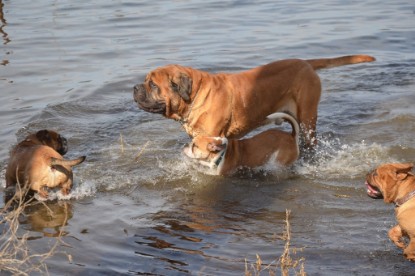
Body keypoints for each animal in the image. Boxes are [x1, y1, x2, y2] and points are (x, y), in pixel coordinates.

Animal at [135, 53, 376, 147]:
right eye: (146, 81)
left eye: (153, 84)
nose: (135, 88)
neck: (196, 95)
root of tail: (306, 63)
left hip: (307, 116)